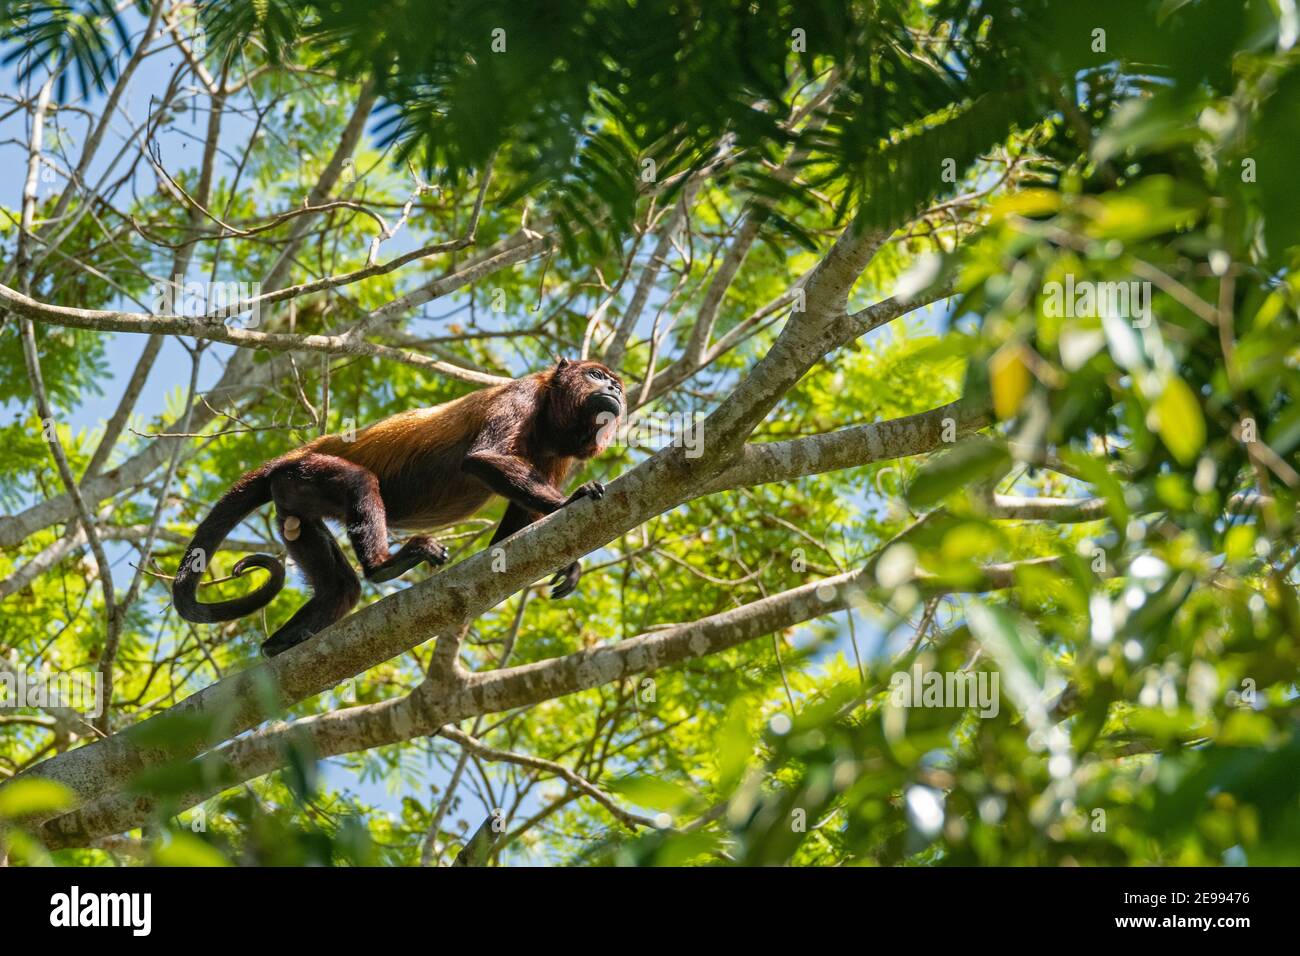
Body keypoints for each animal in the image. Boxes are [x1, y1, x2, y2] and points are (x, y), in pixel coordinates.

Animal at [174, 358, 624, 658]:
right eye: (596, 376)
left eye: (615, 382)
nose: (617, 391)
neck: (550, 414)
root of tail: (293, 455)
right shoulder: (521, 396)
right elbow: (484, 458)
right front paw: (571, 500)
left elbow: (518, 524)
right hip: (305, 471)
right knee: (360, 482)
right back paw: (384, 565)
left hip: (291, 500)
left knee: (342, 588)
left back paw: (282, 642)